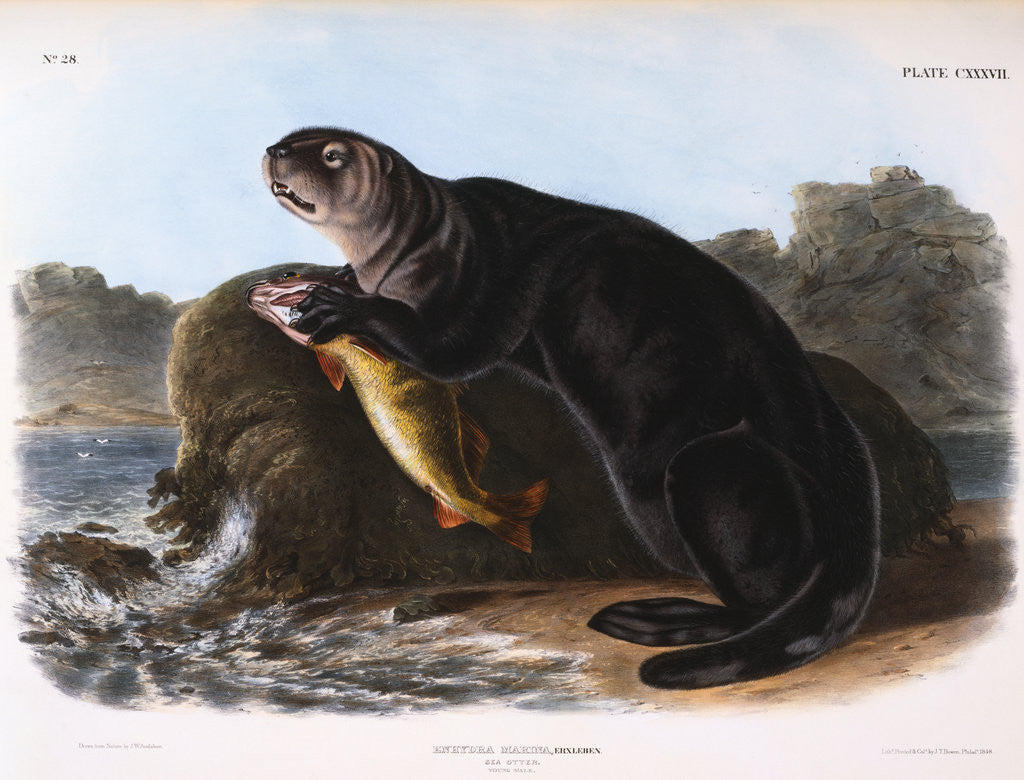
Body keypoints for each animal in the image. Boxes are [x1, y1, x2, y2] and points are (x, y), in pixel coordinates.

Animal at [262, 127, 881, 690]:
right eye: (294, 137)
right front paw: (335, 282)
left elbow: (453, 349)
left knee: (760, 594)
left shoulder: (482, 278)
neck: (426, 241)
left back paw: (659, 620)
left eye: (332, 155)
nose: (274, 150)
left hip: (713, 467)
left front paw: (335, 304)